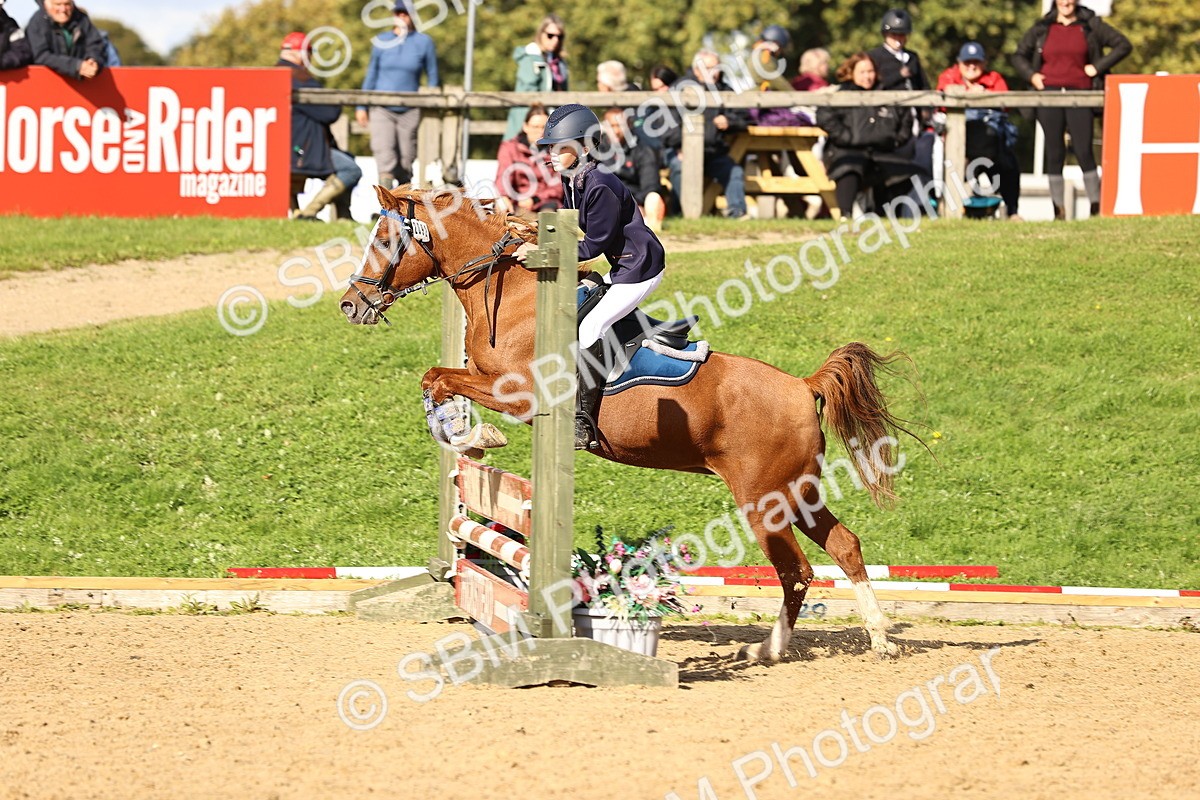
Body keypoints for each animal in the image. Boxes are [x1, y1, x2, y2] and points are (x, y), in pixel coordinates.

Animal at [340, 185, 921, 662]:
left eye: (387, 240)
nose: (351, 304)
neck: (516, 296)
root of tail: (803, 386)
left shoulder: (519, 393)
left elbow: (440, 380)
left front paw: (473, 436)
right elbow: (437, 378)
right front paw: (466, 436)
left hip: (763, 500)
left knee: (795, 572)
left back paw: (768, 651)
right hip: (796, 492)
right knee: (844, 546)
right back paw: (876, 640)